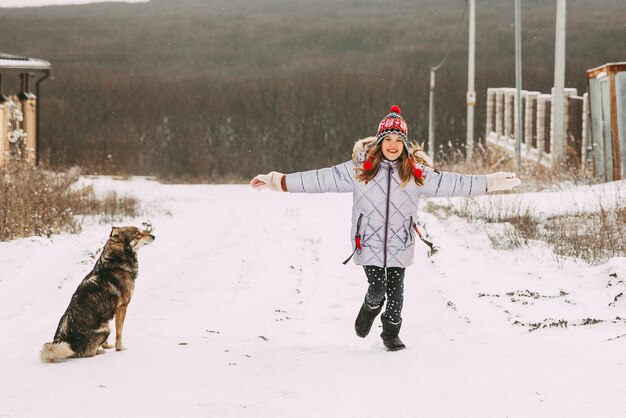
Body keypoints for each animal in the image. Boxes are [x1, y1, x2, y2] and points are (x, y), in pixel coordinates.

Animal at [40, 225, 155, 362]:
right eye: (138, 234)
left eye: (141, 231)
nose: (154, 236)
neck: (116, 261)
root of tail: (64, 341)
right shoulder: (122, 308)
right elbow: (119, 333)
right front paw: (120, 348)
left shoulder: (108, 314)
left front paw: (107, 346)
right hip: (105, 329)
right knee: (87, 353)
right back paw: (99, 352)